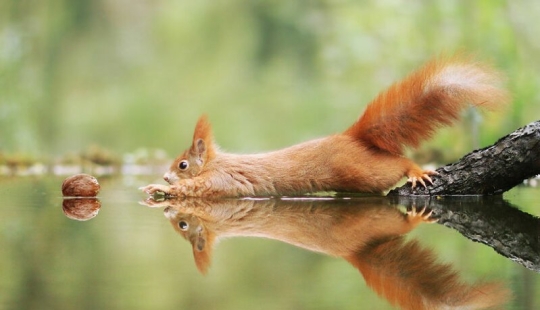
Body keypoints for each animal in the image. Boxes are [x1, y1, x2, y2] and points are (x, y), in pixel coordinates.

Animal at [139, 57, 506, 197]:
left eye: (182, 164)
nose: (165, 176)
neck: (216, 163)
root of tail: (350, 136)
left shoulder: (220, 181)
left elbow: (196, 191)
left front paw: (159, 189)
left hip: (361, 171)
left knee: (398, 164)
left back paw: (416, 171)